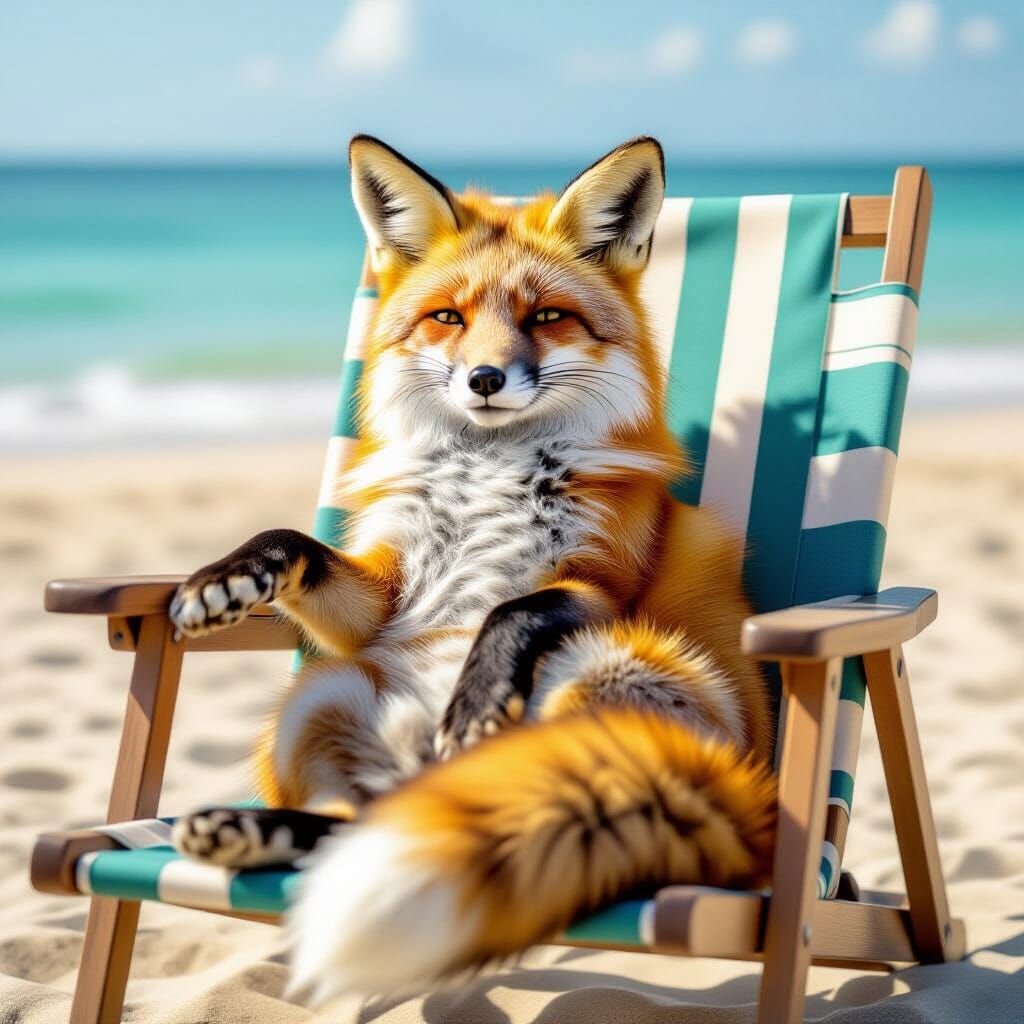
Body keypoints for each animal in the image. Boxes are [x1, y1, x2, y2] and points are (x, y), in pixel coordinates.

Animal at [168, 134, 776, 1002]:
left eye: (547, 316)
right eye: (448, 317)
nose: (484, 379)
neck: (489, 467)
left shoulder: (608, 580)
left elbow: (513, 608)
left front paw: (480, 696)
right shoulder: (385, 597)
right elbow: (291, 541)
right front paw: (227, 578)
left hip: (608, 668)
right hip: (319, 696)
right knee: (364, 826)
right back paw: (255, 829)